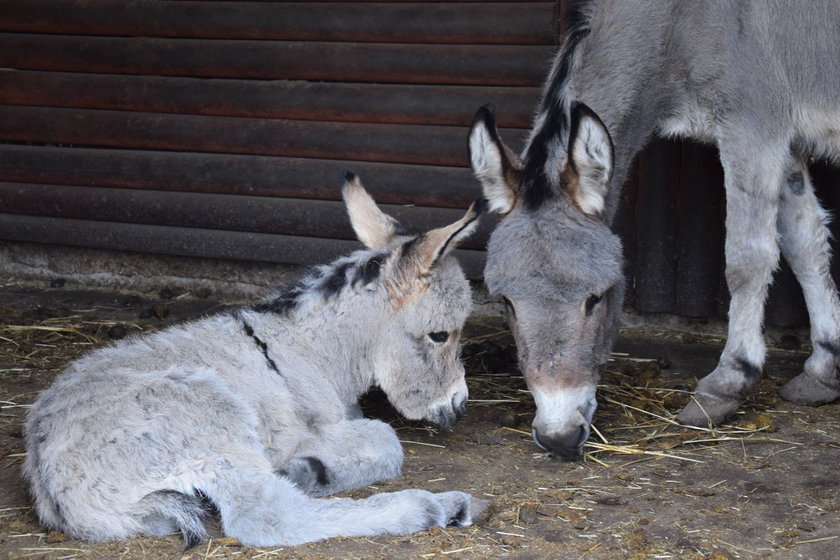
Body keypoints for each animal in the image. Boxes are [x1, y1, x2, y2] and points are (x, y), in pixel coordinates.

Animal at [23, 174, 486, 548]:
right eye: (441, 334)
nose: (461, 406)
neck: (312, 351)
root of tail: (56, 492)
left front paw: (313, 469)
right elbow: (387, 441)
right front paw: (312, 468)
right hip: (211, 417)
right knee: (267, 518)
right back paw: (437, 508)